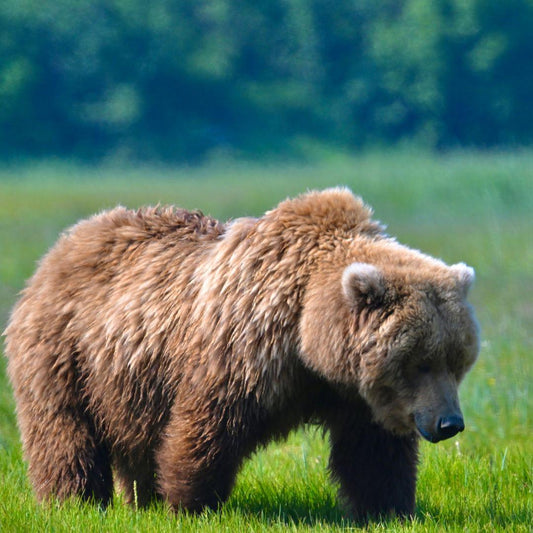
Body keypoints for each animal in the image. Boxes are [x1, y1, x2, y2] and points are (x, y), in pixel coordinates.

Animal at [3, 188, 478, 520]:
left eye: (458, 361)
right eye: (420, 362)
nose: (449, 423)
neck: (308, 338)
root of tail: (62, 247)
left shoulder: (357, 394)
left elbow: (373, 452)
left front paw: (388, 508)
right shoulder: (244, 350)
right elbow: (207, 427)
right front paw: (188, 502)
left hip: (128, 383)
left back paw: (140, 498)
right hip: (67, 354)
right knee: (64, 434)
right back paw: (75, 501)